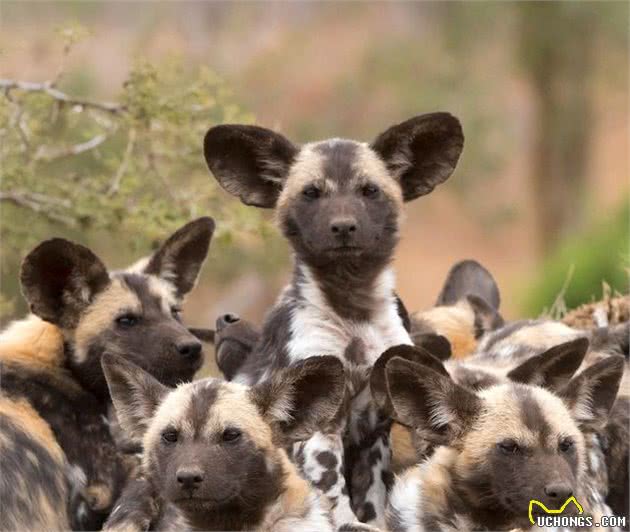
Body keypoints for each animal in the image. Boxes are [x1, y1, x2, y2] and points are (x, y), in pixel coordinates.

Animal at [205, 113, 466, 528]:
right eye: (311, 193)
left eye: (369, 191)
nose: (343, 226)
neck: (353, 310)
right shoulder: (319, 429)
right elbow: (332, 493)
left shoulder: (376, 431)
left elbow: (373, 503)